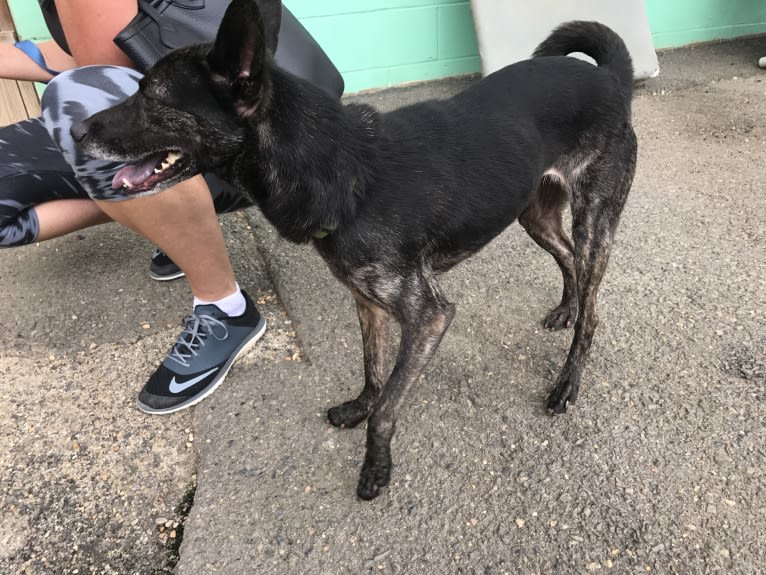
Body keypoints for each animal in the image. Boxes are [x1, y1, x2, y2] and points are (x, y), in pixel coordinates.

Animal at [75, 0, 640, 500]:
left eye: (152, 97)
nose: (76, 129)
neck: (335, 166)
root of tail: (610, 79)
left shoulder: (429, 316)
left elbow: (389, 406)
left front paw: (375, 469)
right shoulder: (368, 301)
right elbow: (372, 369)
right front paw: (359, 407)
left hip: (595, 221)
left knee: (593, 303)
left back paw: (567, 380)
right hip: (534, 215)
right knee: (567, 258)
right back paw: (565, 308)